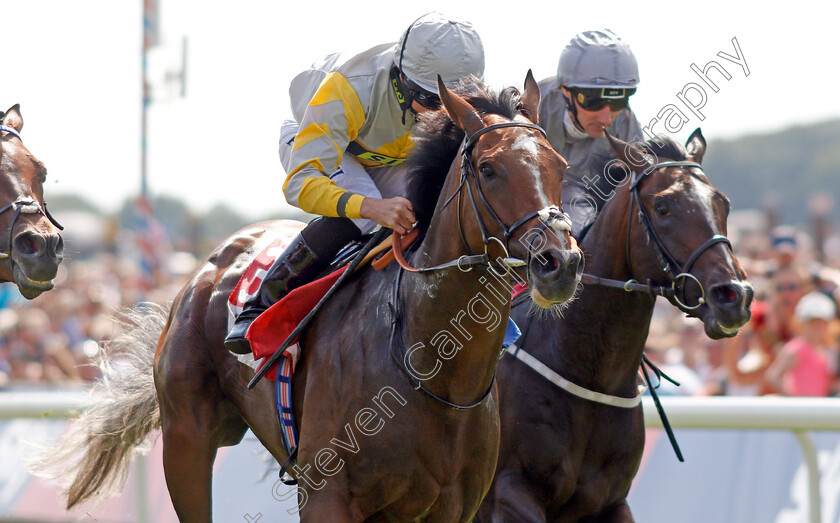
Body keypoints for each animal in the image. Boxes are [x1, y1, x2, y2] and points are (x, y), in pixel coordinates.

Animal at [39, 75, 584, 520]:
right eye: (489, 169)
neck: (432, 371)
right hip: (186, 437)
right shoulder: (328, 496)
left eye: (560, 165)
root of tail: (206, 268)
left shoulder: (453, 508)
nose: (560, 262)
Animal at [480, 129, 756, 520]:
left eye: (723, 204)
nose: (735, 295)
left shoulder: (611, 501)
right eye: (663, 207)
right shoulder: (508, 493)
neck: (592, 375)